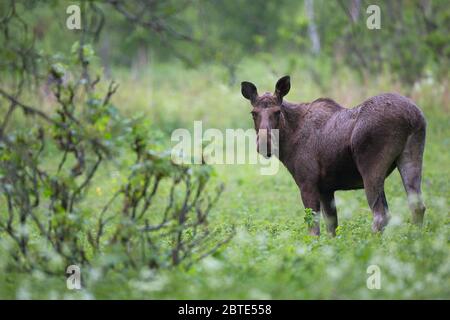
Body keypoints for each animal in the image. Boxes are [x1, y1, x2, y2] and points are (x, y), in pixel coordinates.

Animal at [241, 76, 428, 234]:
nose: (264, 144)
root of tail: (412, 117)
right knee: (417, 206)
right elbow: (332, 228)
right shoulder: (326, 189)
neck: (288, 142)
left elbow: (314, 230)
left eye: (277, 112)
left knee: (381, 215)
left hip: (371, 167)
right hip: (412, 156)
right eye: (253, 113)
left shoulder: (307, 184)